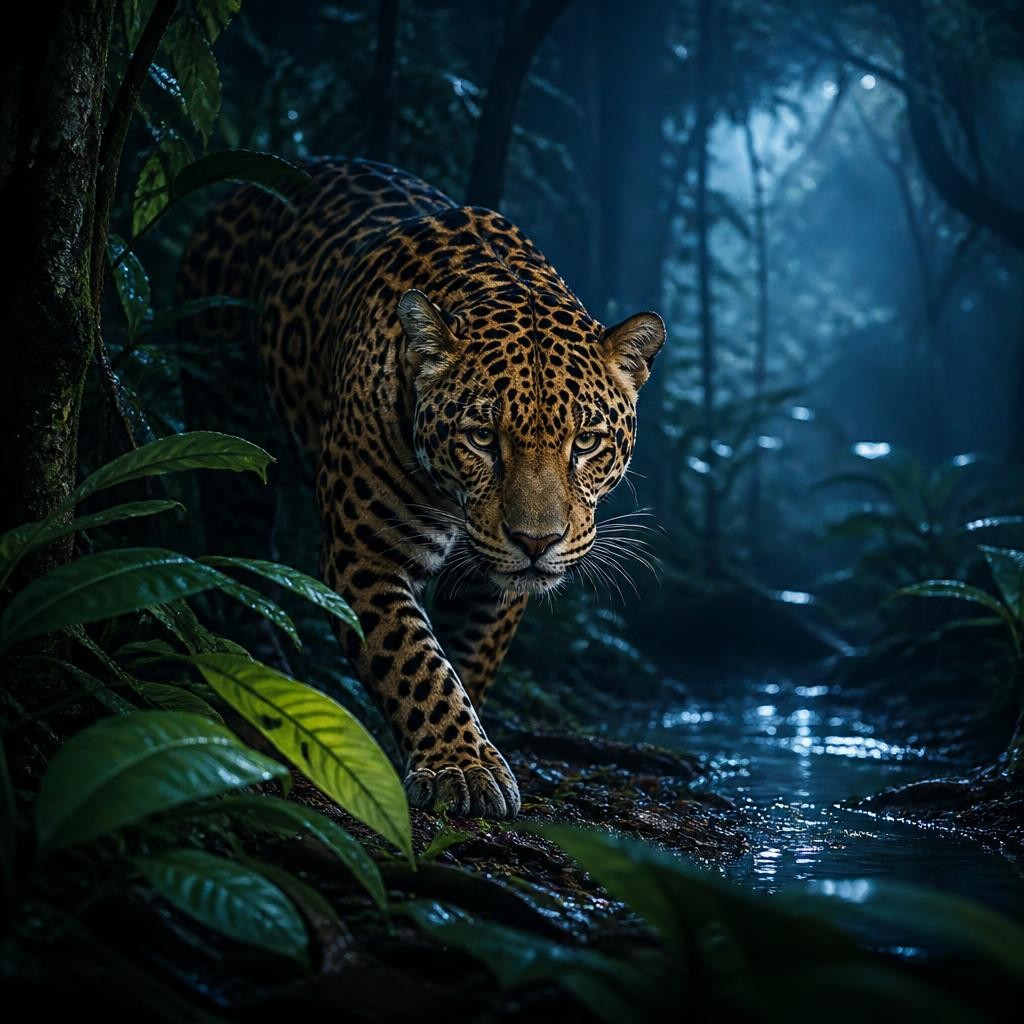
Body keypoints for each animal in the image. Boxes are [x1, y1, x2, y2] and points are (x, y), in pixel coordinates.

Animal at [179, 158, 665, 818]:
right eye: (482, 438)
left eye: (586, 442)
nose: (536, 543)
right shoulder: (367, 554)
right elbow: (413, 661)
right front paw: (461, 765)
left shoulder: (494, 585)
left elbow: (466, 663)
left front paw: (460, 745)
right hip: (230, 426)